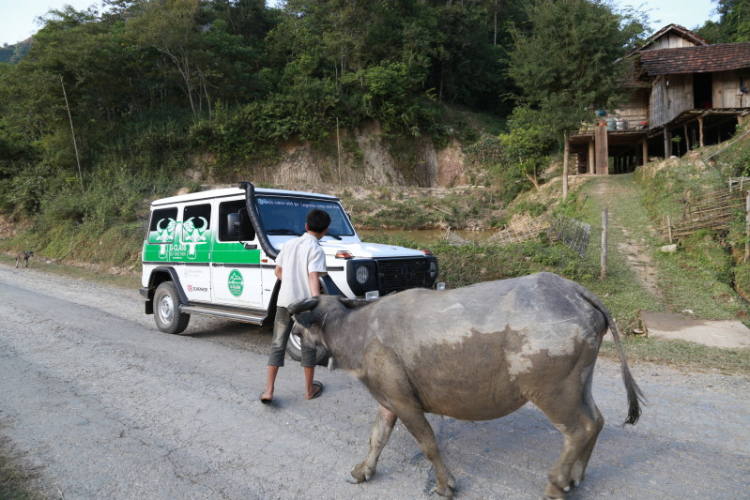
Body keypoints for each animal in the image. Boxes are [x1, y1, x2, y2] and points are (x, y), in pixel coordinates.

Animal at [290, 274, 644, 500]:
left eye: (296, 329)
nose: (303, 356)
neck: (360, 331)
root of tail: (574, 291)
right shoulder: (388, 400)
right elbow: (377, 438)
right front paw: (364, 471)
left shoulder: (406, 404)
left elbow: (429, 444)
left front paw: (446, 485)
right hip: (580, 383)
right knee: (596, 421)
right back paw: (576, 477)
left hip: (553, 393)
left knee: (579, 430)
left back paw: (558, 484)